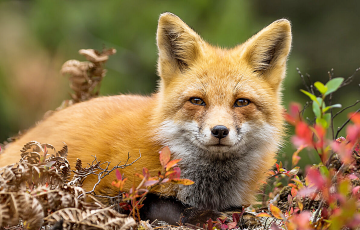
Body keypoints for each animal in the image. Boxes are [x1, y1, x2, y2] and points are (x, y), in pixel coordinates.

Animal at [0, 13, 292, 225]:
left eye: (241, 102)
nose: (219, 130)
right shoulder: (102, 192)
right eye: (197, 101)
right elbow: (164, 207)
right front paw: (202, 216)